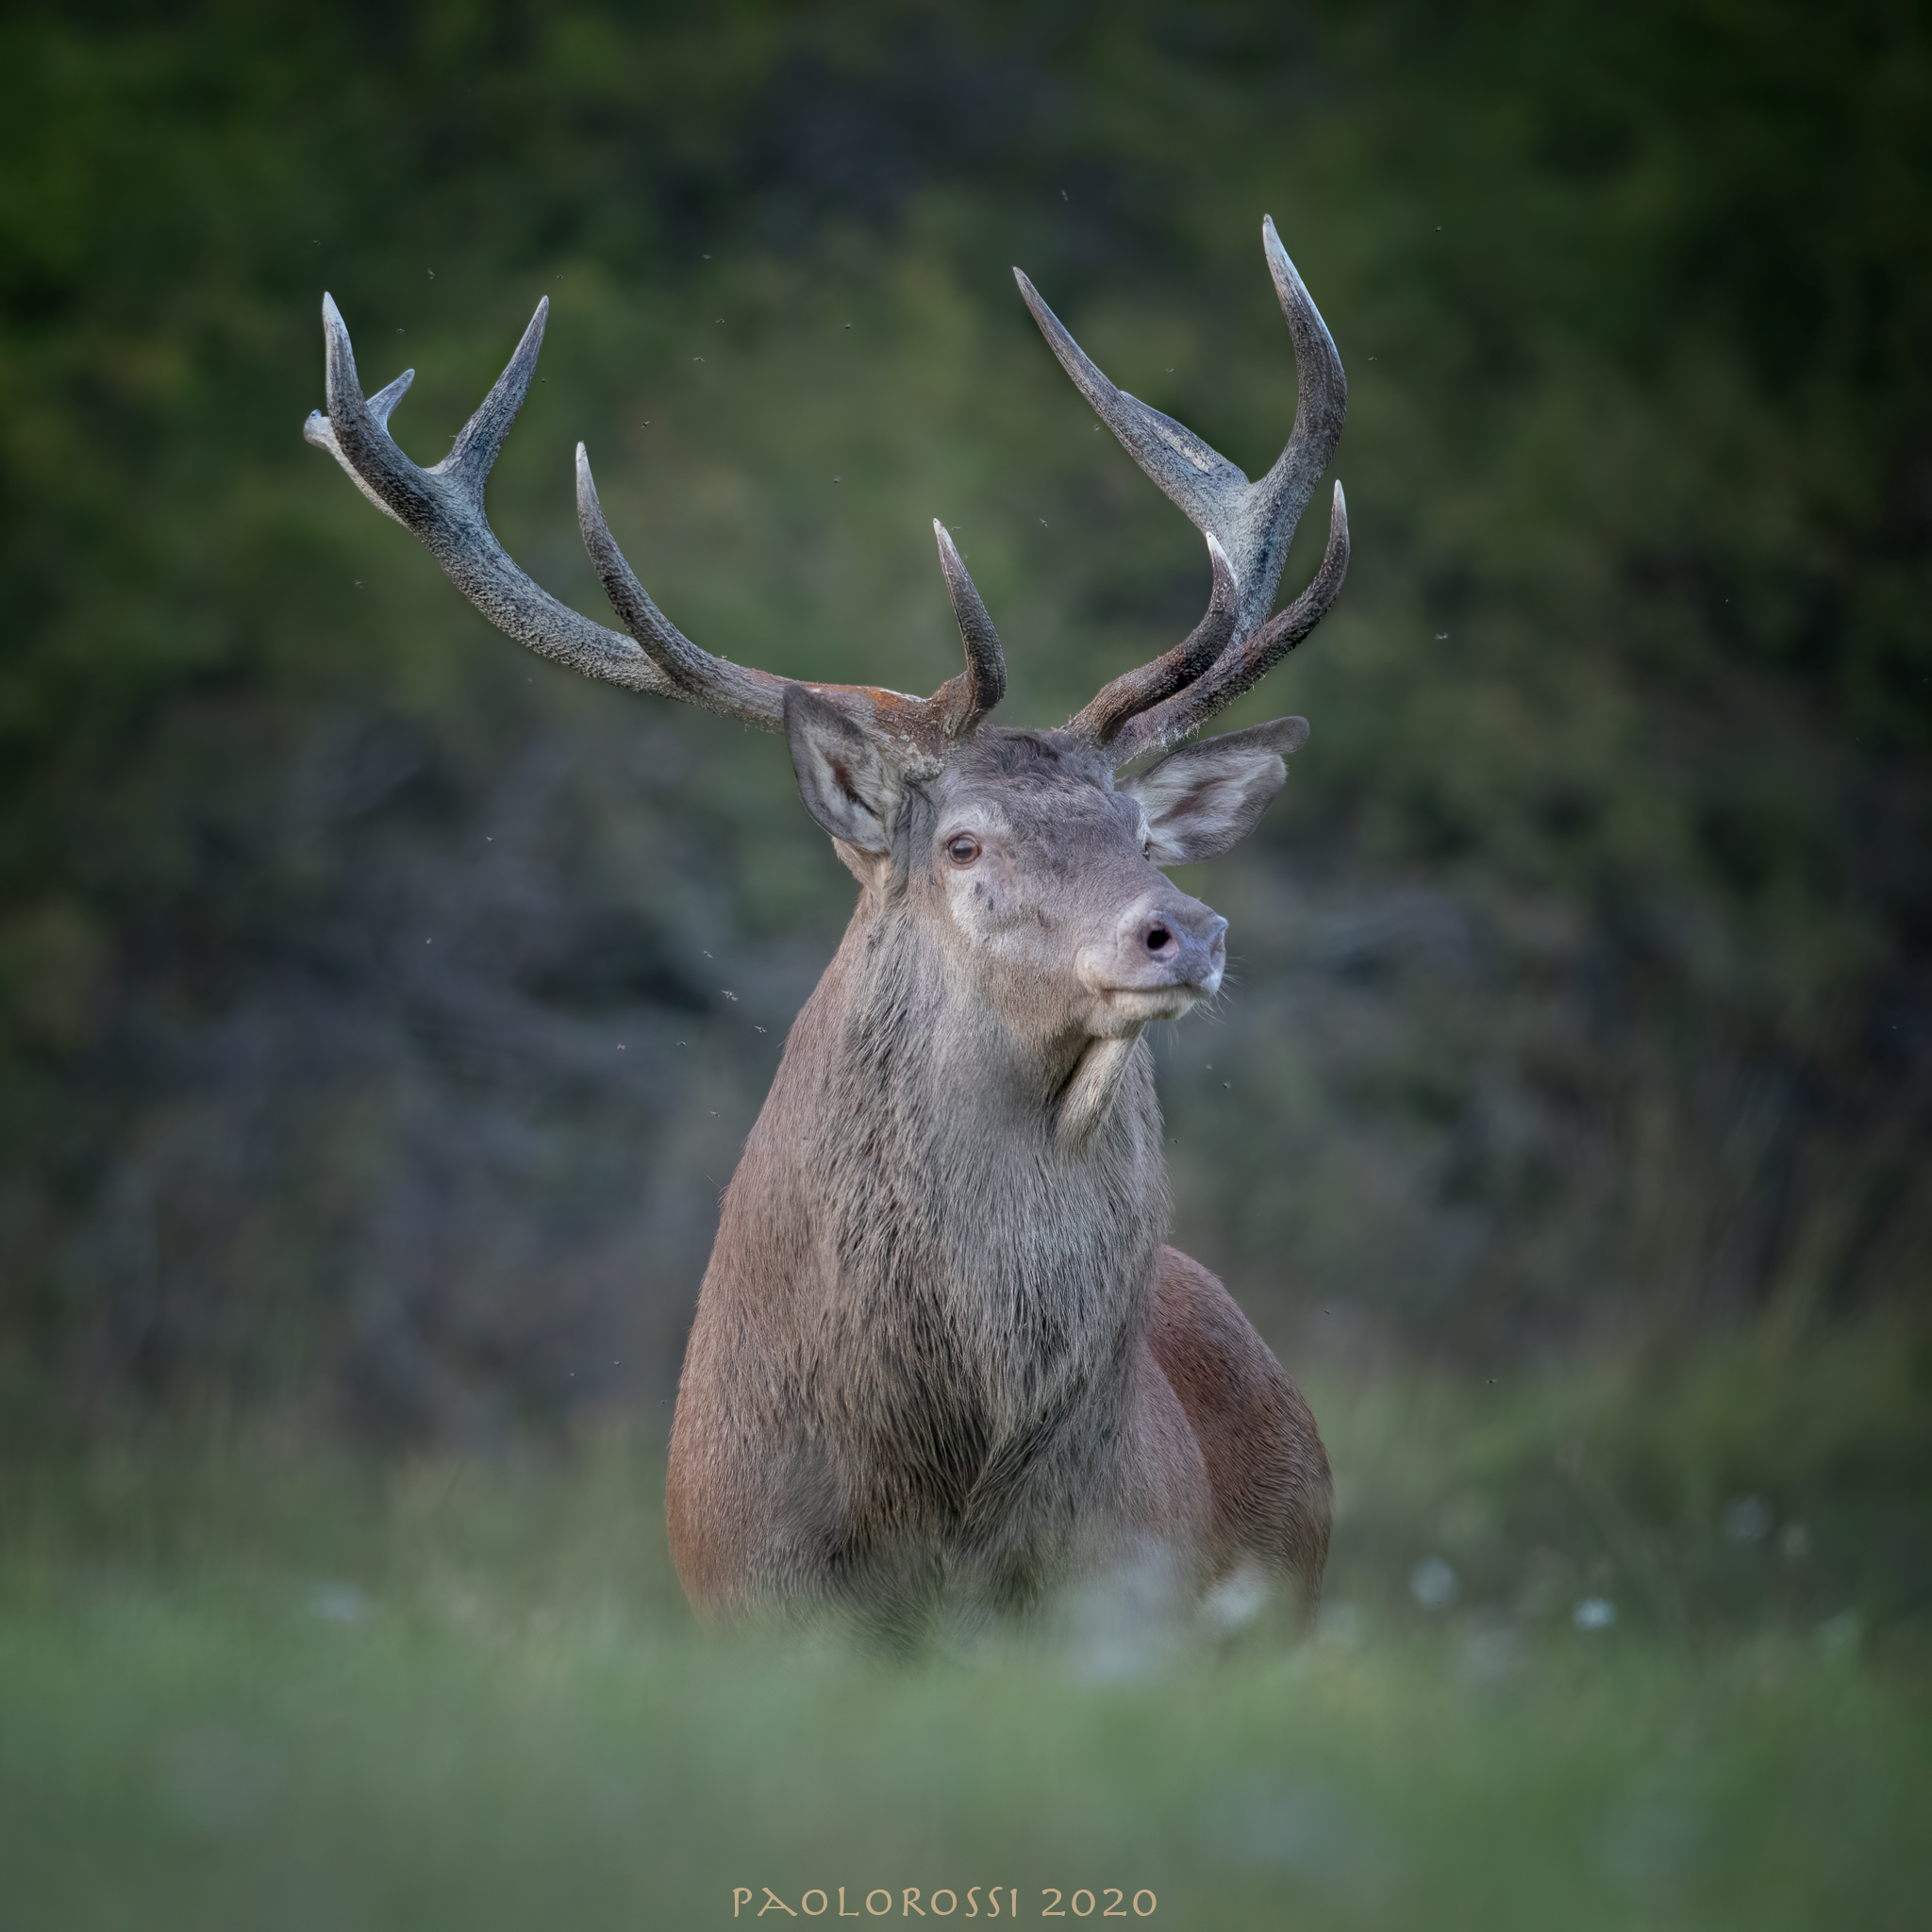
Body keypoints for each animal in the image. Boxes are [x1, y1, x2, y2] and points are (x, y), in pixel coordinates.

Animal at [306, 216, 1348, 1646]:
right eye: (962, 843)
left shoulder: (1118, 1608)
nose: (1181, 930)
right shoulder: (752, 1600)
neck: (945, 1507)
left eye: (1140, 832)